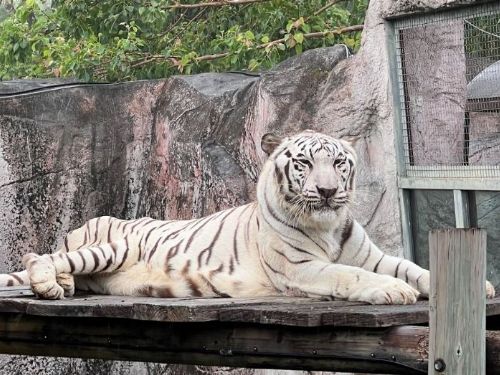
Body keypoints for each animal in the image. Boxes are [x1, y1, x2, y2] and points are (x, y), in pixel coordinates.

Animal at [0, 131, 494, 304]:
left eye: (339, 163)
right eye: (304, 164)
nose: (327, 191)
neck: (327, 225)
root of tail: (78, 227)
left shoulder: (372, 255)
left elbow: (412, 266)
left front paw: (481, 286)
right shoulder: (301, 268)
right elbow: (348, 276)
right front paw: (393, 292)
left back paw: (63, 286)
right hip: (111, 245)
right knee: (39, 257)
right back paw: (49, 285)